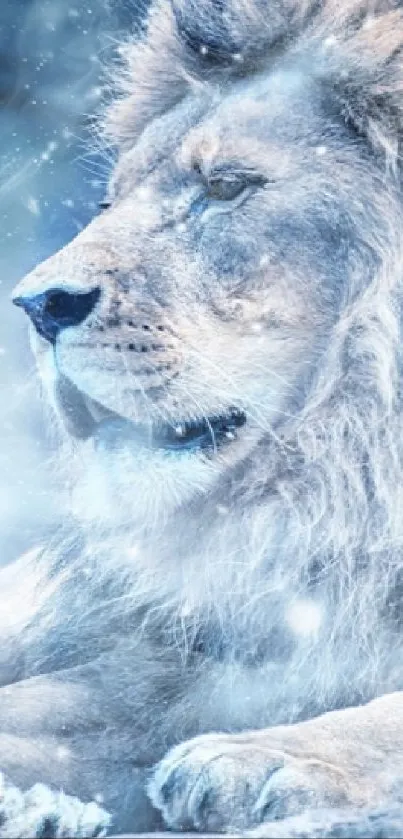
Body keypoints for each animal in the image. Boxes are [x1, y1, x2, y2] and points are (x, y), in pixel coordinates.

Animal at [4, 0, 403, 834]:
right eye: (108, 202)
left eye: (224, 188)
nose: (36, 304)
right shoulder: (197, 662)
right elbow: (58, 705)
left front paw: (270, 756)